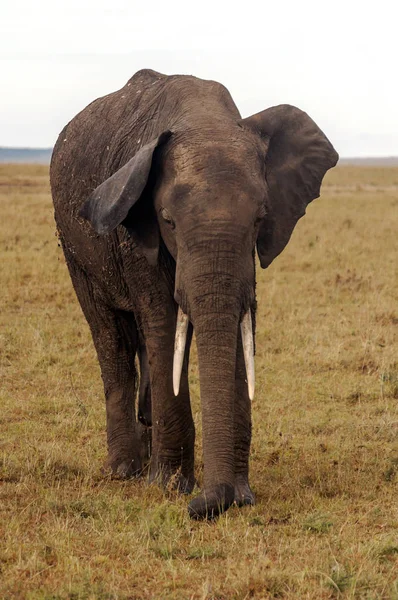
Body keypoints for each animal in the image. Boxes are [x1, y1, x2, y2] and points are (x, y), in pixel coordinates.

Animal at [49, 69, 336, 520]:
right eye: (168, 220)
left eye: (260, 218)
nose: (203, 506)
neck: (203, 118)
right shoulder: (136, 232)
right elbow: (164, 323)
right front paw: (169, 487)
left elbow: (236, 325)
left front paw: (239, 494)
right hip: (74, 247)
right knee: (112, 337)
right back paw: (125, 471)